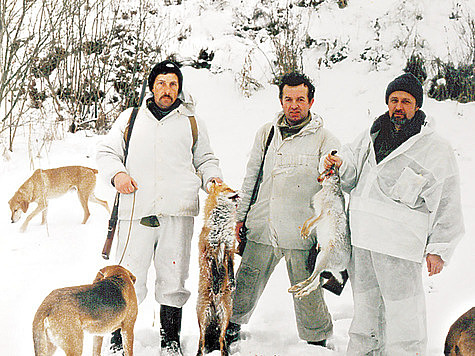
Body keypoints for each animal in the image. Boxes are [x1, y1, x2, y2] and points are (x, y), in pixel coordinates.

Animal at [196, 182, 240, 354]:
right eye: (228, 189)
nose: (239, 191)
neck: (220, 226)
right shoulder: (210, 251)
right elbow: (215, 271)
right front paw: (215, 286)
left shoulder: (228, 248)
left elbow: (231, 269)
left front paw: (232, 284)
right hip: (203, 315)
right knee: (201, 342)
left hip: (226, 315)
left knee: (221, 340)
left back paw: (225, 353)